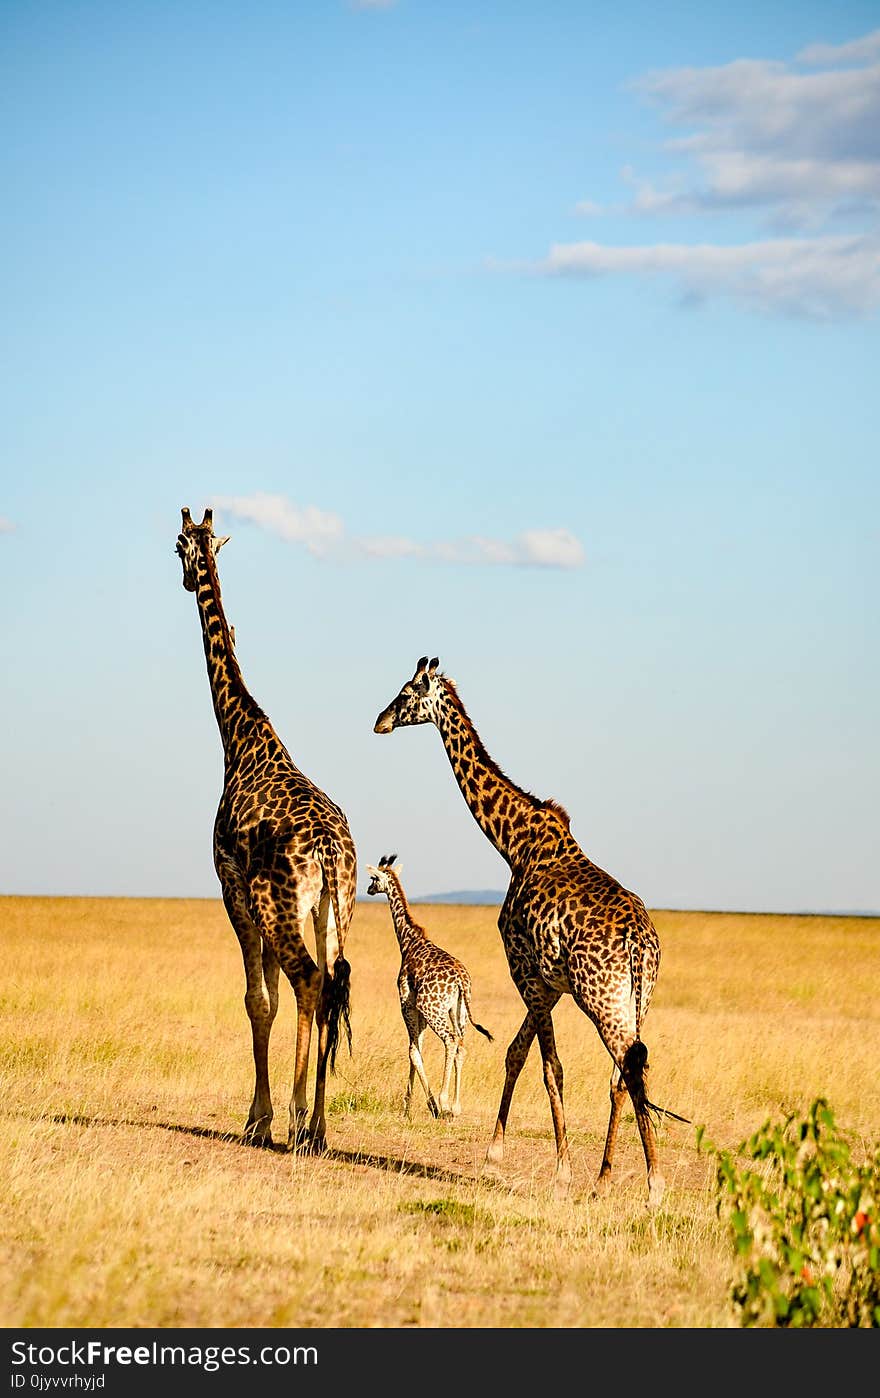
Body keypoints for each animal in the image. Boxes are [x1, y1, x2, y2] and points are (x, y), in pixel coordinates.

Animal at [174, 508, 356, 1151]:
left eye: (176, 547)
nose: (186, 578)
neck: (239, 736)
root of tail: (329, 853)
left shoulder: (233, 889)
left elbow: (258, 1000)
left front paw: (259, 1118)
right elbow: (272, 999)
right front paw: (268, 1113)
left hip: (277, 906)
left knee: (310, 982)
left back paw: (301, 1120)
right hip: (333, 911)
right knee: (331, 985)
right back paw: (320, 1125)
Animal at [360, 844, 489, 1118]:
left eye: (373, 878)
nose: (368, 890)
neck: (408, 941)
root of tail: (461, 980)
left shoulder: (407, 1003)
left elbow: (413, 1051)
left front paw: (424, 1105)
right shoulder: (417, 1009)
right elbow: (416, 1048)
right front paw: (408, 1106)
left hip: (433, 1009)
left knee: (450, 1041)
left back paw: (444, 1101)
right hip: (459, 1011)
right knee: (461, 1045)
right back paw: (456, 1106)